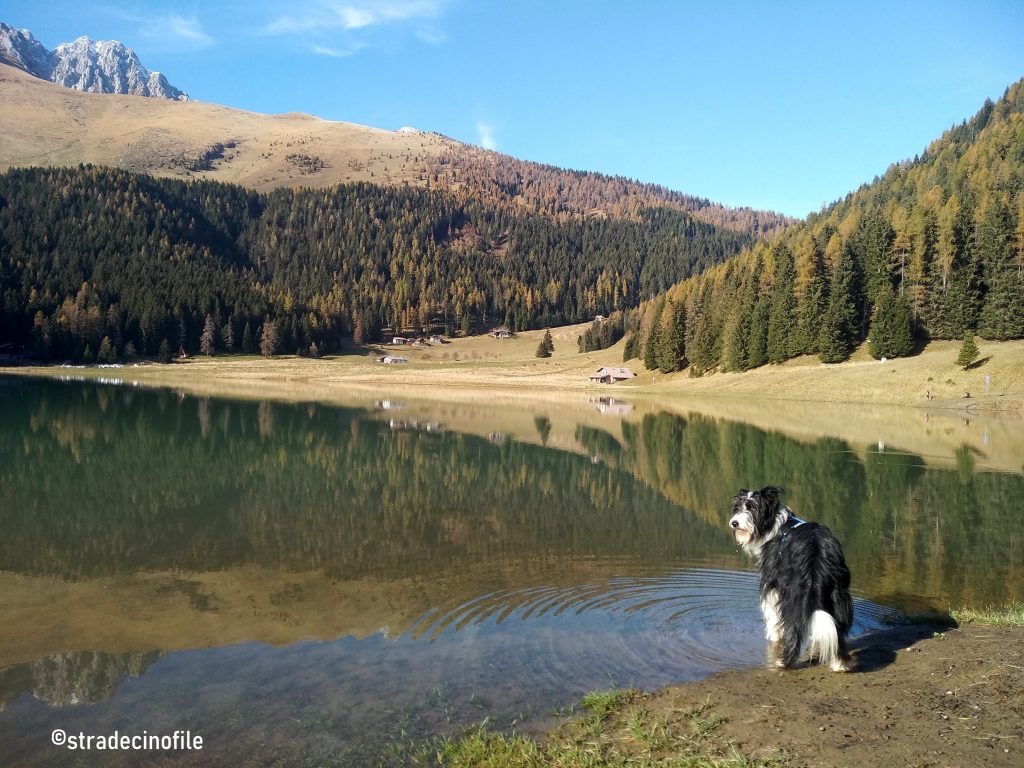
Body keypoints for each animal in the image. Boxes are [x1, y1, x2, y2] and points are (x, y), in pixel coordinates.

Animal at [729, 487, 856, 671]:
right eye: (737, 508)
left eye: (752, 508)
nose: (734, 523)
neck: (776, 525)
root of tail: (818, 557)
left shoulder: (772, 583)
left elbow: (773, 615)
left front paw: (774, 636)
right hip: (838, 595)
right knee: (838, 629)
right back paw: (840, 663)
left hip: (794, 595)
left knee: (794, 628)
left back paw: (784, 661)